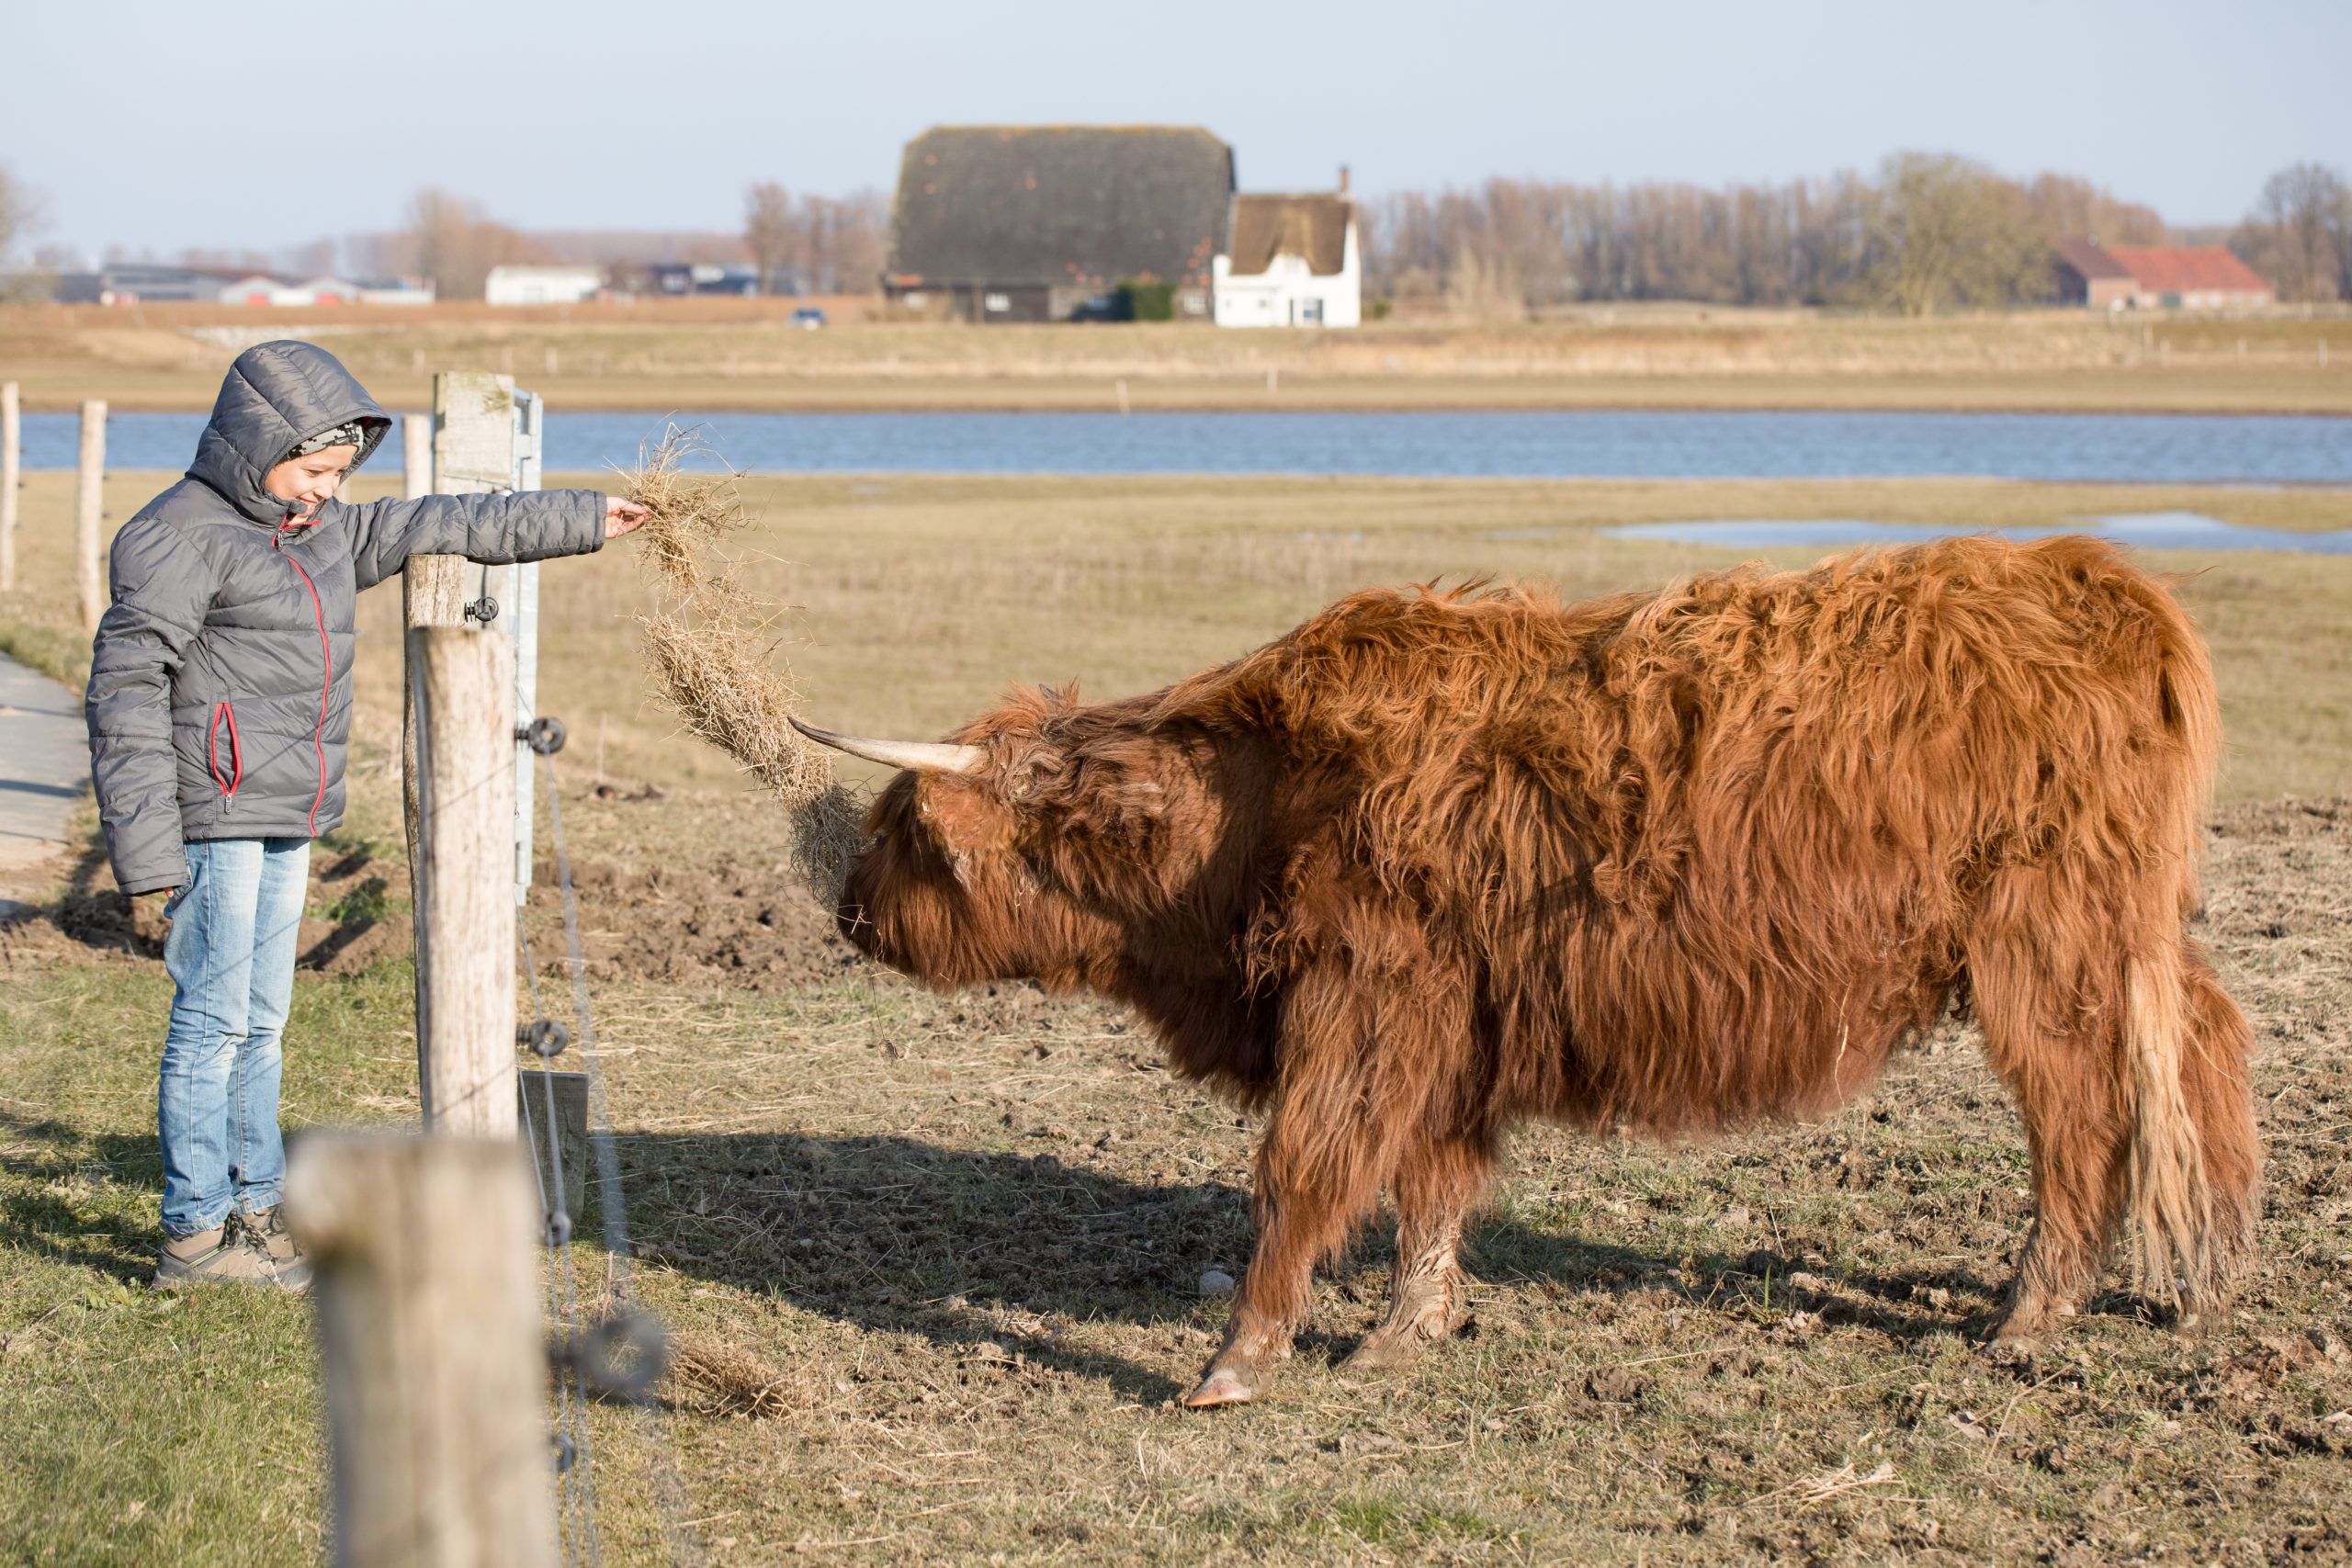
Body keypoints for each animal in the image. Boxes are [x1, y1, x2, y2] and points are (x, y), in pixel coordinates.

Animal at [790, 540, 2257, 1410]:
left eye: (903, 828)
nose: (848, 913)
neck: (1244, 813)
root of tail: (2095, 577)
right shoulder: (1454, 1023)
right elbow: (1433, 1183)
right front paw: (1406, 1329)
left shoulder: (1368, 997)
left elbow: (1305, 1169)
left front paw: (1238, 1359)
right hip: (2128, 941)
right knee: (2202, 1055)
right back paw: (2195, 1276)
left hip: (2044, 950)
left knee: (2080, 1118)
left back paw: (2029, 1312)